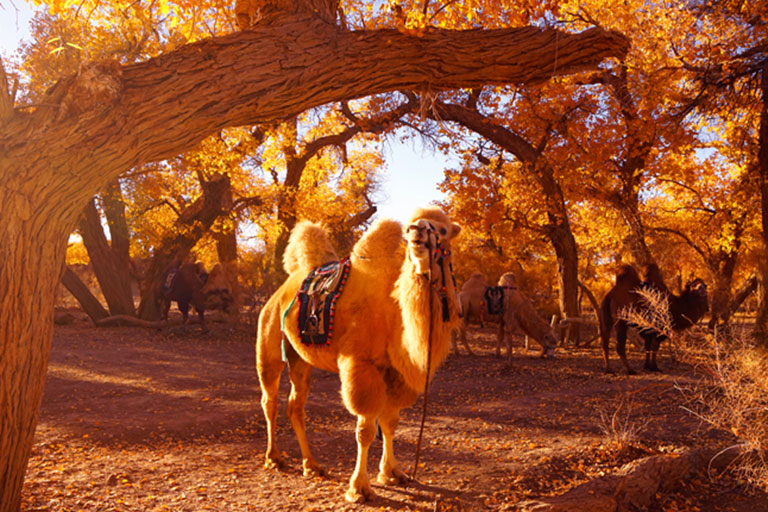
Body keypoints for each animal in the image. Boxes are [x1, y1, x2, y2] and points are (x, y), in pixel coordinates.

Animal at [256, 206, 462, 502]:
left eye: (442, 229)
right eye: (410, 226)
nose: (417, 231)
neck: (394, 311)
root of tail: (282, 289)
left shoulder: (395, 372)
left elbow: (390, 422)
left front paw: (392, 473)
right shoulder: (360, 365)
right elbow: (365, 429)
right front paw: (359, 488)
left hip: (300, 359)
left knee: (296, 404)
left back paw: (312, 465)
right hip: (269, 343)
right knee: (269, 399)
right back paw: (274, 458)